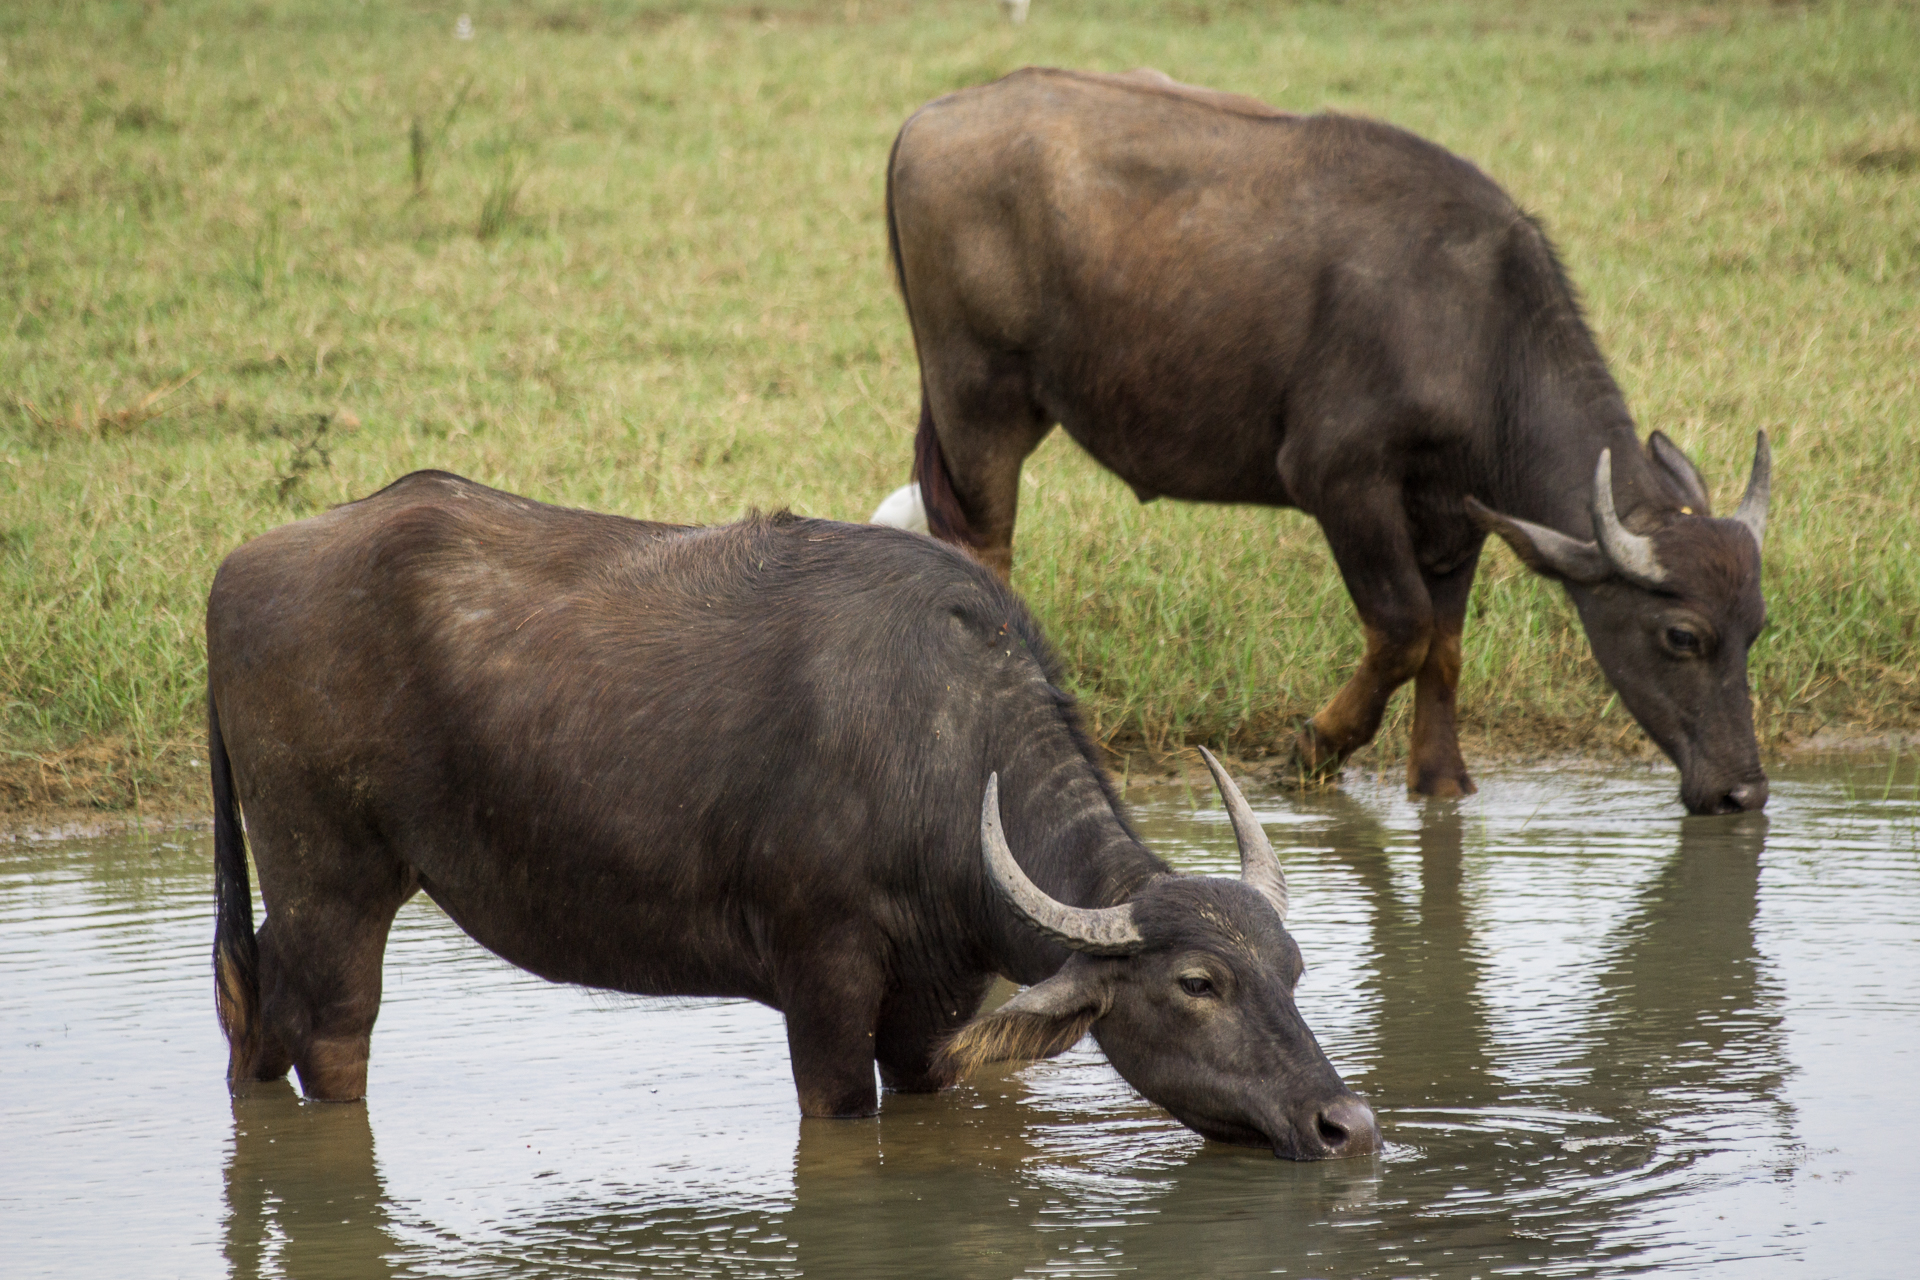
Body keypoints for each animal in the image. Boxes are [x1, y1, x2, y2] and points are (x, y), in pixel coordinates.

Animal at [210, 470, 1382, 1159]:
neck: (939, 755)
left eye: (1293, 970)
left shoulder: (933, 1010)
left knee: (253, 1006)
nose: (1347, 1122)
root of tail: (240, 566)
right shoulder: (822, 984)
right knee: (330, 1033)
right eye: (1198, 983)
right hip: (334, 880)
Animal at [883, 67, 1766, 809]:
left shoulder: (1455, 515)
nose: (1744, 793)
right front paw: (1313, 749)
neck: (1479, 331)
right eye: (1682, 636)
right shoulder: (1342, 482)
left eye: (1755, 628)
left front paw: (1439, 781)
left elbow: (1444, 647)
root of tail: (931, 117)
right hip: (978, 399)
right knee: (984, 549)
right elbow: (1404, 630)